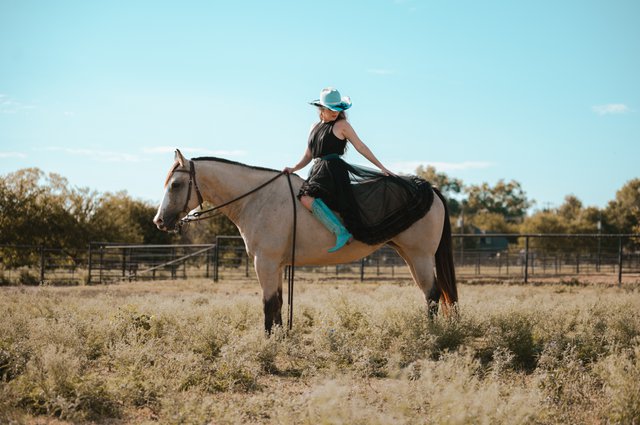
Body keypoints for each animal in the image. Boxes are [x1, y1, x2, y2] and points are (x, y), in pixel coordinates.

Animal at [153, 149, 458, 332]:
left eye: (176, 184)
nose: (159, 221)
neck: (258, 199)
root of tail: (429, 188)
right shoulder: (275, 266)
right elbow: (278, 302)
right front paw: (279, 337)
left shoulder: (264, 263)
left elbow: (268, 304)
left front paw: (267, 343)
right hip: (411, 256)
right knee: (431, 294)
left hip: (419, 256)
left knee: (432, 295)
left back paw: (429, 334)